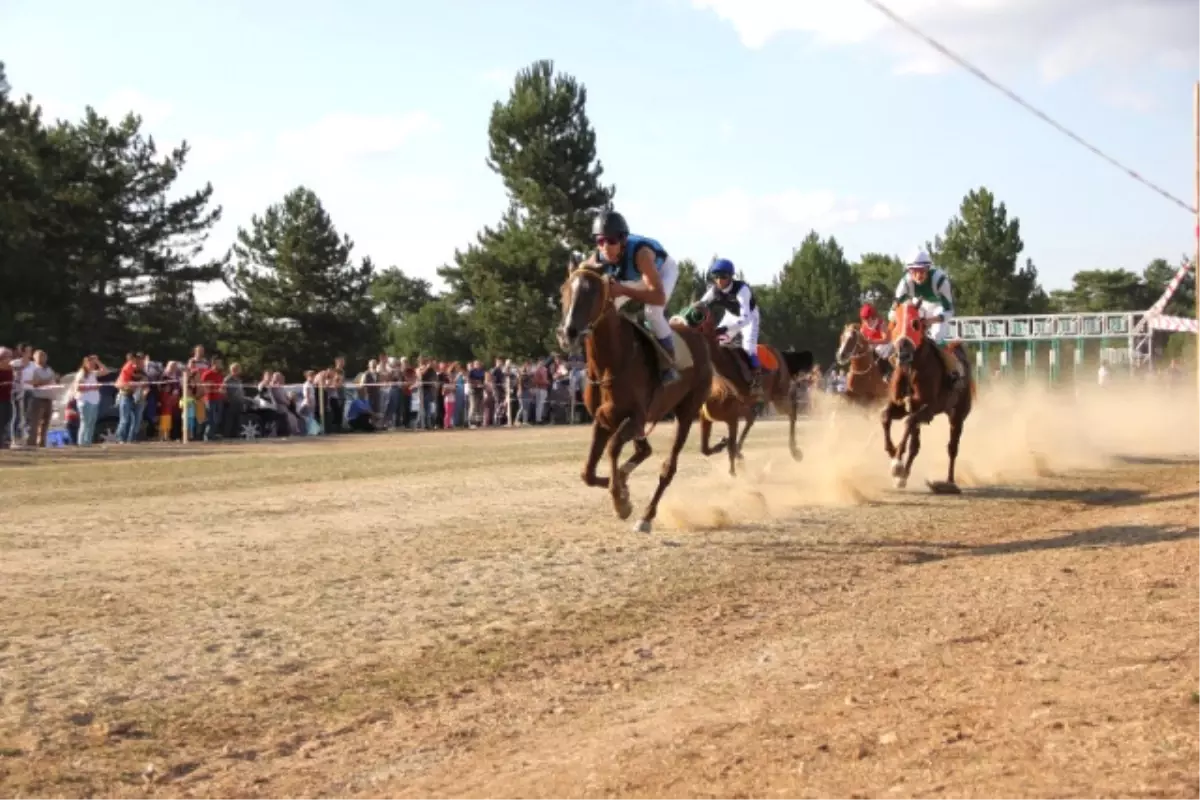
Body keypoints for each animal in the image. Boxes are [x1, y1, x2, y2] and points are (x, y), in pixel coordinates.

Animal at [559, 266, 715, 534]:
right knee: (644, 450)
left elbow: (613, 447)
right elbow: (587, 473)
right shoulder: (603, 418)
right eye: (564, 290)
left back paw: (646, 517)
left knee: (668, 467)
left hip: (686, 411)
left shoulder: (635, 417)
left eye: (594, 292)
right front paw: (623, 490)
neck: (611, 363)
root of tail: (698, 336)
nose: (568, 332)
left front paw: (621, 501)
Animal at [681, 302, 811, 474]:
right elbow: (705, 449)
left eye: (699, 315)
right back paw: (739, 451)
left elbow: (729, 445)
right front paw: (726, 447)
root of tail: (780, 354)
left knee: (792, 410)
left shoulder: (732, 417)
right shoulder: (707, 417)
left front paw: (733, 467)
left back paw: (795, 451)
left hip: (778, 395)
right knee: (751, 420)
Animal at [883, 302, 974, 494]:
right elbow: (885, 416)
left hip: (958, 414)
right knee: (915, 446)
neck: (911, 369)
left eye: (916, 323)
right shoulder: (901, 405)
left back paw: (949, 483)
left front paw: (897, 463)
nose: (903, 354)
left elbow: (908, 421)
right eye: (895, 323)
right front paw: (893, 453)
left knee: (952, 447)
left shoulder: (928, 409)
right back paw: (903, 476)